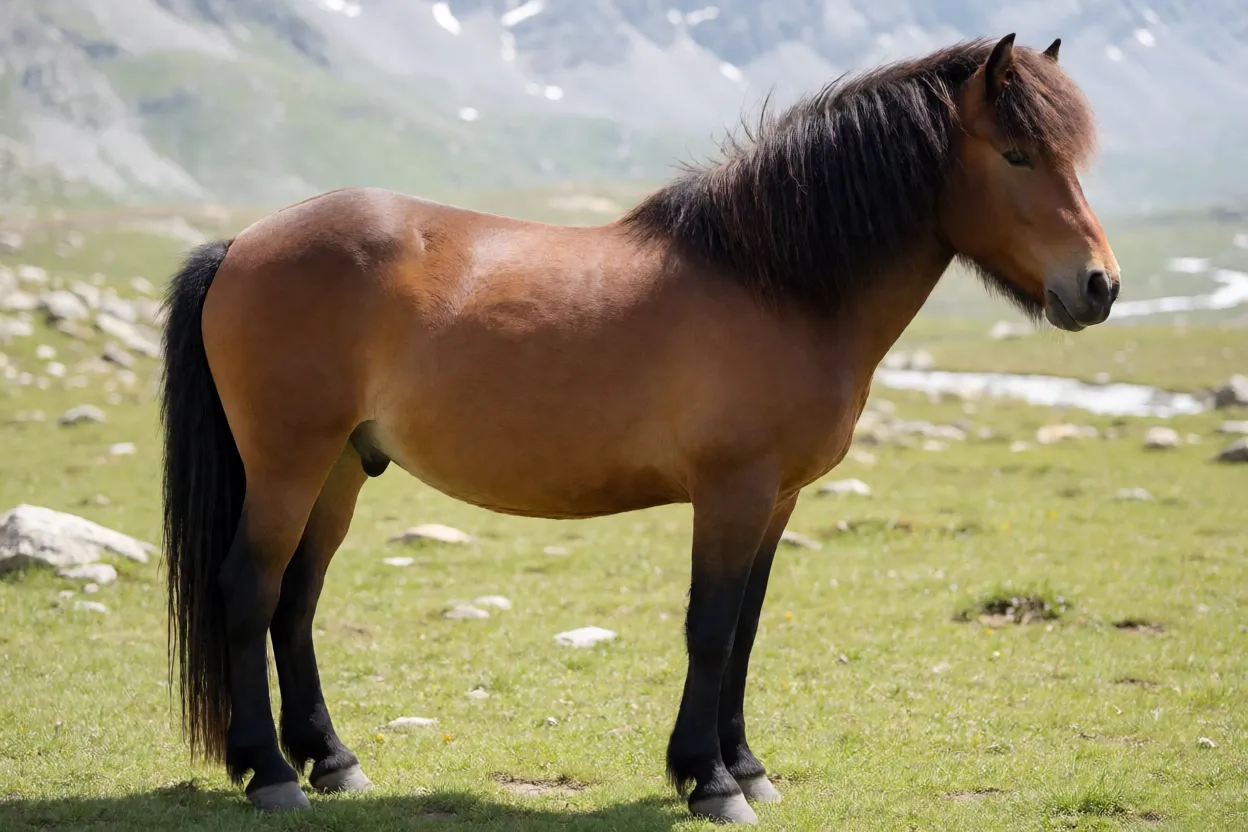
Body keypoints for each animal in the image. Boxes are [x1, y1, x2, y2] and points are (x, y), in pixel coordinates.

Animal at [159, 34, 1119, 825]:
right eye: (1018, 153)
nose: (1100, 286)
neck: (776, 283)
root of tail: (241, 245)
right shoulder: (731, 493)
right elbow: (710, 626)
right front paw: (711, 781)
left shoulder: (776, 500)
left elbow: (746, 629)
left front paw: (746, 765)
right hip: (288, 464)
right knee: (250, 589)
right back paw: (271, 774)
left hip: (340, 471)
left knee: (296, 601)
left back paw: (332, 762)